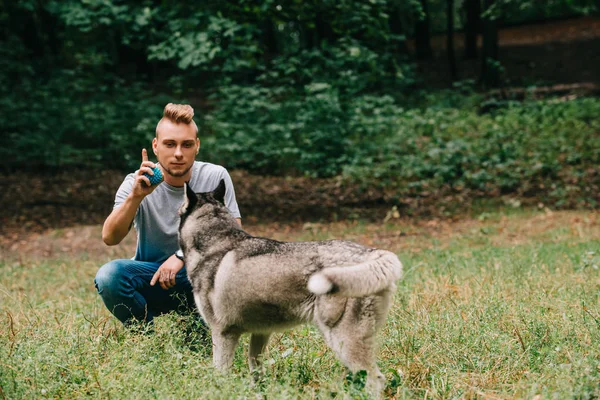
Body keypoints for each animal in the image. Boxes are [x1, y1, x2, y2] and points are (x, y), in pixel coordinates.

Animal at [178, 182, 404, 396]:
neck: (215, 244)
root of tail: (371, 253)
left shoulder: (223, 333)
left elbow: (220, 374)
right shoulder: (261, 333)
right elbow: (256, 371)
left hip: (343, 341)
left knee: (375, 380)